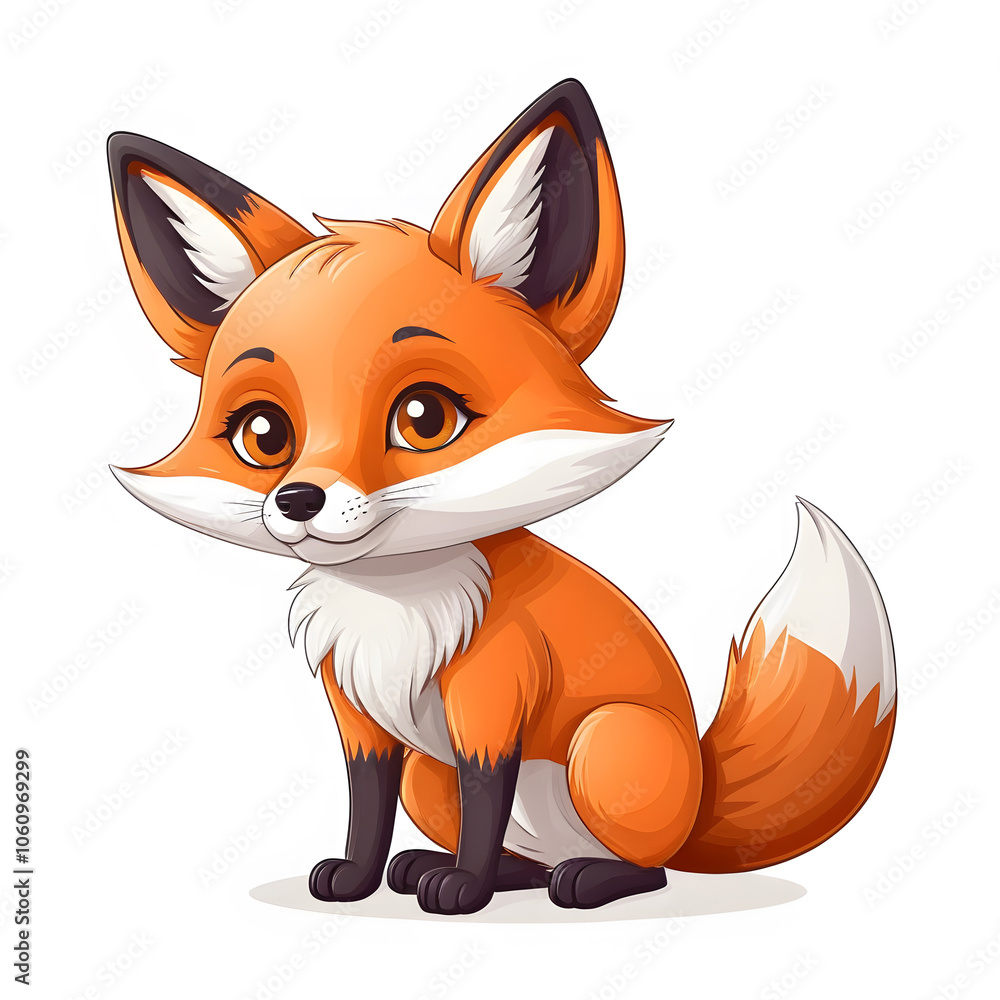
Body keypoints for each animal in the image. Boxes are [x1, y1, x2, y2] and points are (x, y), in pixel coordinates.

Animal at [106, 79, 896, 914]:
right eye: (264, 434)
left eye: (424, 418)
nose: (297, 500)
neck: (395, 601)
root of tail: (702, 798)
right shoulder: (359, 714)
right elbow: (366, 804)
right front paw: (356, 877)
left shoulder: (493, 697)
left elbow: (486, 798)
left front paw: (465, 891)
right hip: (433, 777)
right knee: (521, 854)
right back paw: (452, 868)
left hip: (606, 744)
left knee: (646, 867)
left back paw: (584, 879)